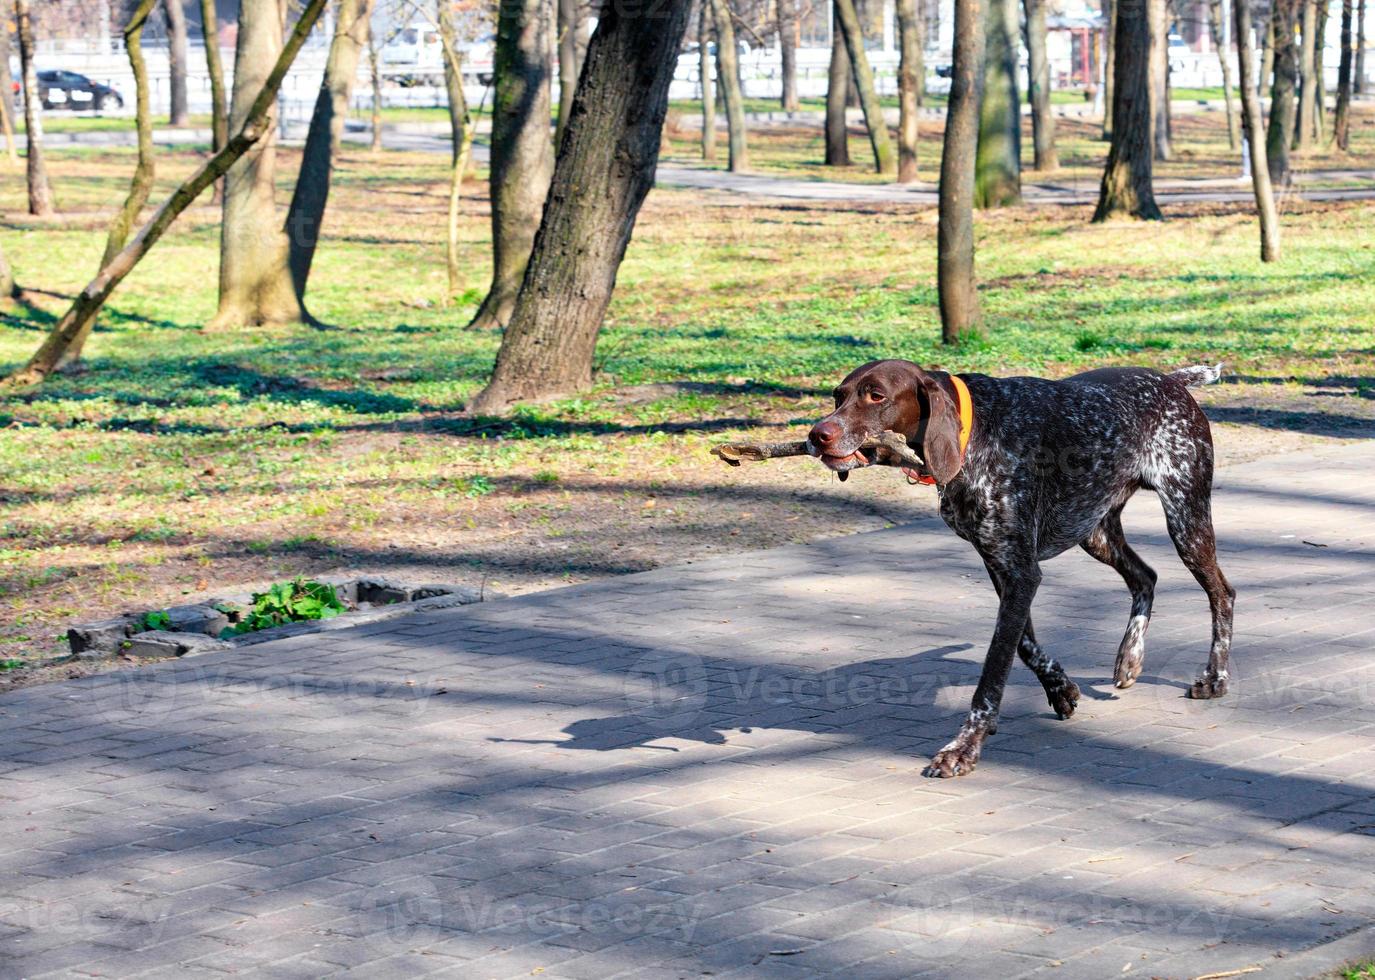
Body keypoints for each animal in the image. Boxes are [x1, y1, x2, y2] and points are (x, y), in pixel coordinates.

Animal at [803, 360, 1237, 780]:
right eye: (838, 396)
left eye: (876, 396)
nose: (817, 435)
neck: (975, 432)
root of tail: (1170, 380)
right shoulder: (1001, 566)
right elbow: (1025, 645)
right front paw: (1060, 688)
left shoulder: (1021, 573)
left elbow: (994, 670)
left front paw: (964, 747)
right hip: (1096, 531)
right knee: (1145, 577)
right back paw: (1129, 657)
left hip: (1185, 520)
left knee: (1222, 594)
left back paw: (1215, 678)